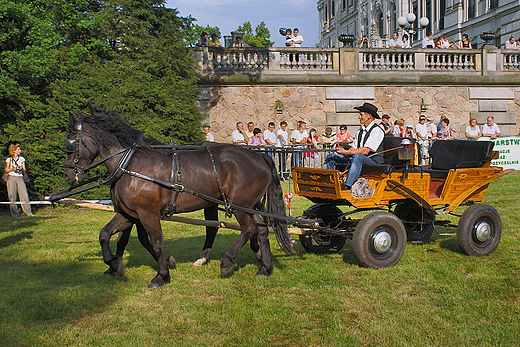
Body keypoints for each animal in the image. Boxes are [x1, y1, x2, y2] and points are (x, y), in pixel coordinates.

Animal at [62, 104, 292, 288]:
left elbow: (156, 243)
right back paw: (265, 268)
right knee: (261, 230)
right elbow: (105, 235)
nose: (67, 174)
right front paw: (114, 264)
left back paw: (227, 261)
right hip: (248, 205)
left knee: (248, 229)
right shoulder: (128, 214)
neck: (130, 164)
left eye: (71, 142)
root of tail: (260, 156)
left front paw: (161, 275)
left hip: (239, 206)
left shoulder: (147, 213)